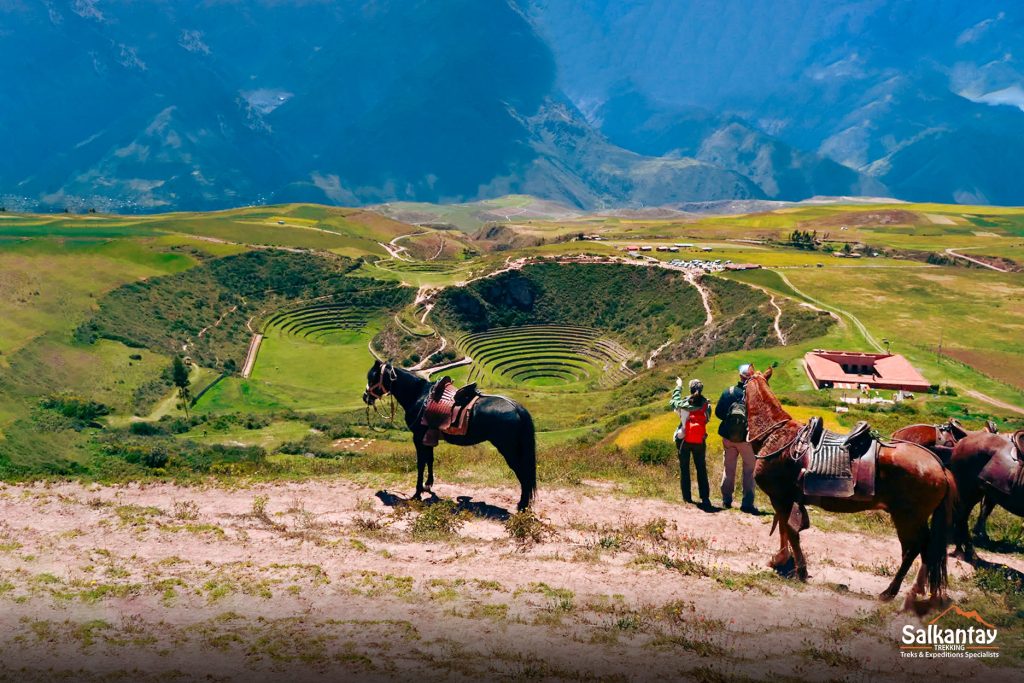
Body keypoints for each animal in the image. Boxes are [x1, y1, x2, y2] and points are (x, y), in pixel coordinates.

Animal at [362, 360, 536, 509]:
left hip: (509, 450)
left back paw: (522, 505)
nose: (366, 397)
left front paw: (417, 493)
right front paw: (428, 485)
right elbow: (430, 460)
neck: (419, 396)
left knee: (523, 473)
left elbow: (420, 464)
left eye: (373, 377)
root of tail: (517, 407)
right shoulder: (428, 437)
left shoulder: (418, 438)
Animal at [745, 368, 950, 610]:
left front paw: (795, 567)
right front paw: (783, 561)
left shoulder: (780, 498)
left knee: (915, 548)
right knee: (923, 550)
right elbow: (785, 530)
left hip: (907, 517)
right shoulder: (784, 499)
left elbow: (789, 532)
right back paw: (919, 593)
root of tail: (938, 465)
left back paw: (890, 592)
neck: (777, 437)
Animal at [942, 430, 1024, 565]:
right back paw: (969, 553)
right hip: (969, 492)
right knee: (962, 518)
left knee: (961, 518)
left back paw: (962, 551)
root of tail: (962, 442)